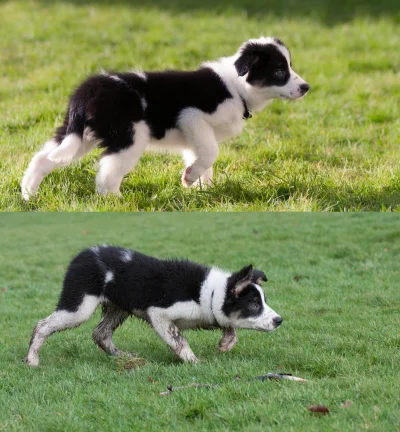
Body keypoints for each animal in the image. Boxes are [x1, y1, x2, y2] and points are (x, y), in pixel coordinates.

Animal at [21, 36, 310, 200]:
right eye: (279, 71)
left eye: (289, 66)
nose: (306, 87)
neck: (236, 87)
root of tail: (85, 91)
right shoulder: (193, 116)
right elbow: (210, 153)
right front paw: (192, 179)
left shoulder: (195, 134)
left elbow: (202, 158)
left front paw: (201, 188)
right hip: (129, 136)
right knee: (107, 174)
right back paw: (116, 200)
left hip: (80, 135)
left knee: (42, 159)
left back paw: (28, 193)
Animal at [25, 246, 282, 364]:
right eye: (254, 304)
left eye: (263, 301)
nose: (279, 320)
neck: (209, 293)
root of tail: (82, 255)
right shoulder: (158, 314)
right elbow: (179, 340)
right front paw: (194, 362)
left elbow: (228, 325)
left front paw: (226, 343)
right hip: (79, 305)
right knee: (42, 325)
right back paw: (32, 360)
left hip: (117, 307)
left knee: (100, 333)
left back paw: (124, 357)